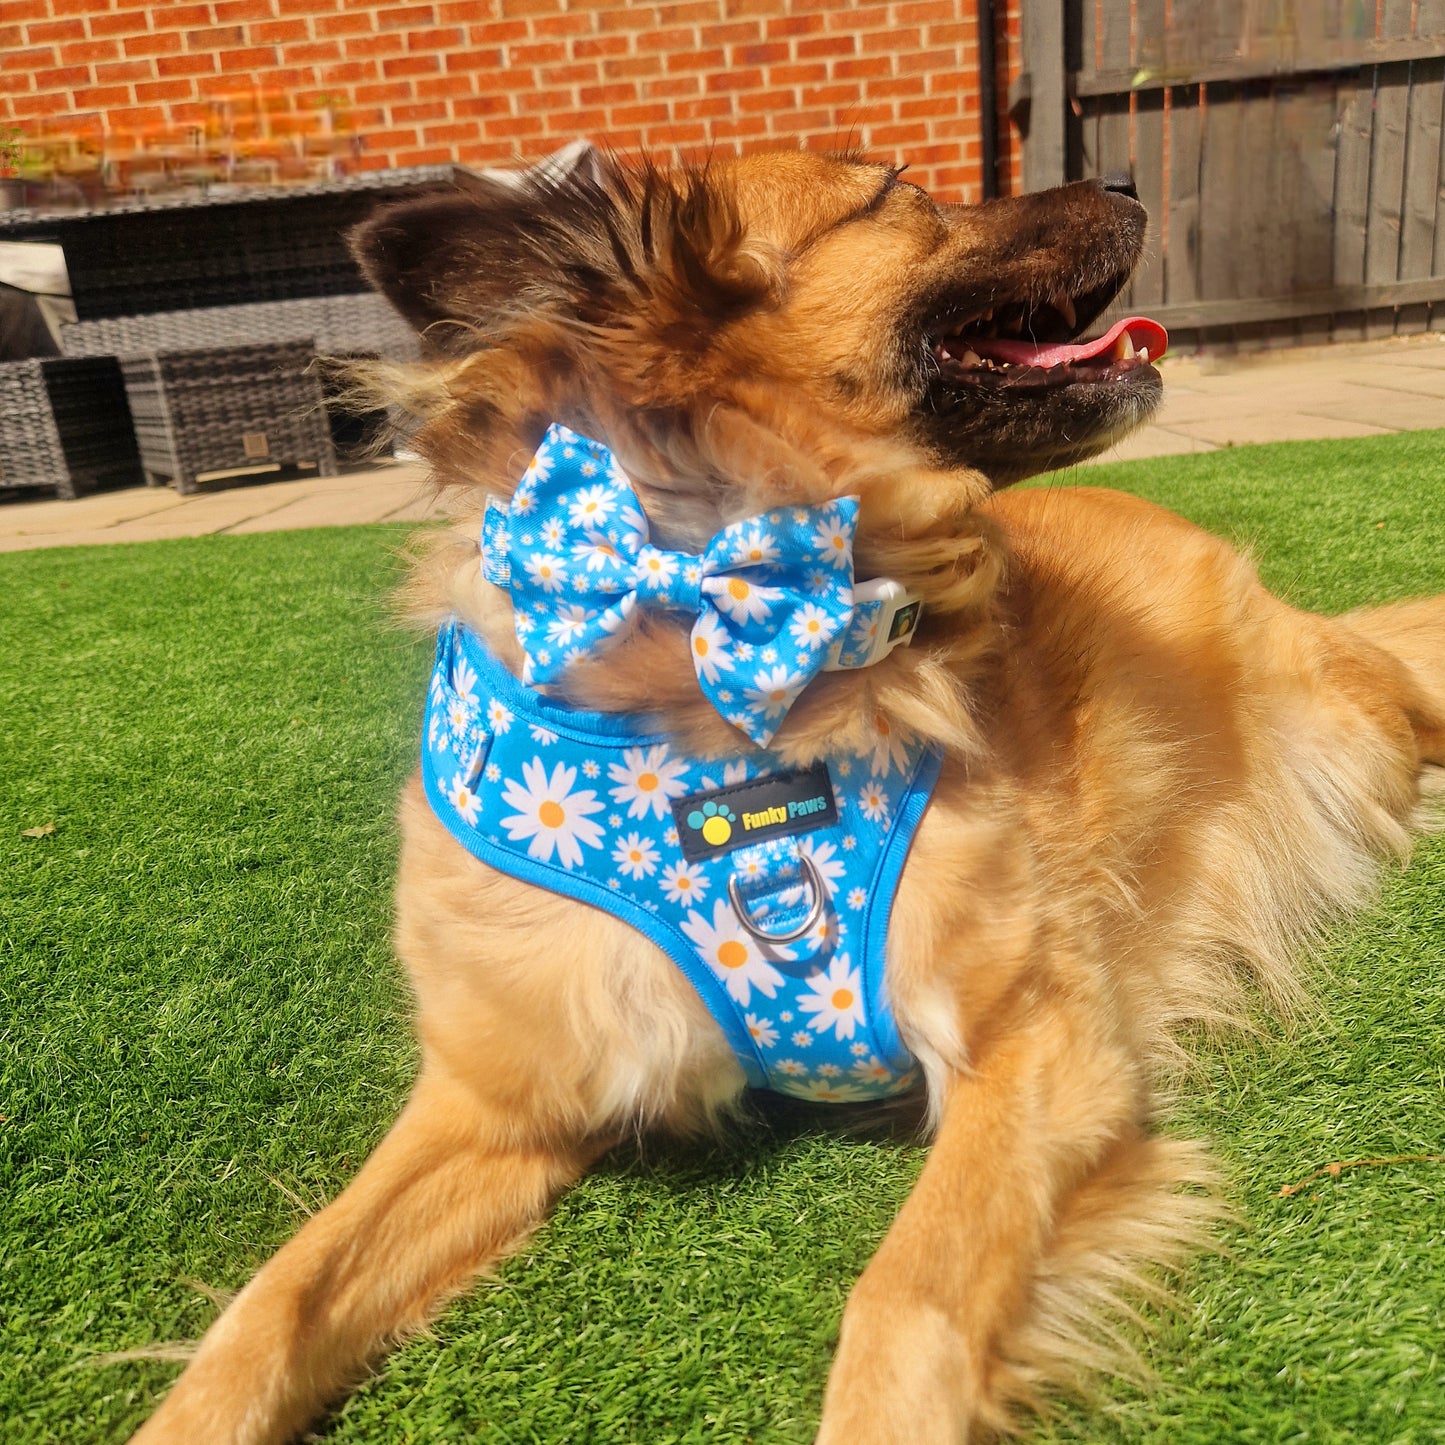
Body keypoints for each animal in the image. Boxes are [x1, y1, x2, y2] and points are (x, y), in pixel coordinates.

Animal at [127, 137, 1445, 1445]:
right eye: (897, 194)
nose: (1123, 177)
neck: (723, 661)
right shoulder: (496, 1100)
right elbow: (276, 1302)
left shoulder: (1040, 1040)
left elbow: (904, 1298)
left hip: (1339, 719)